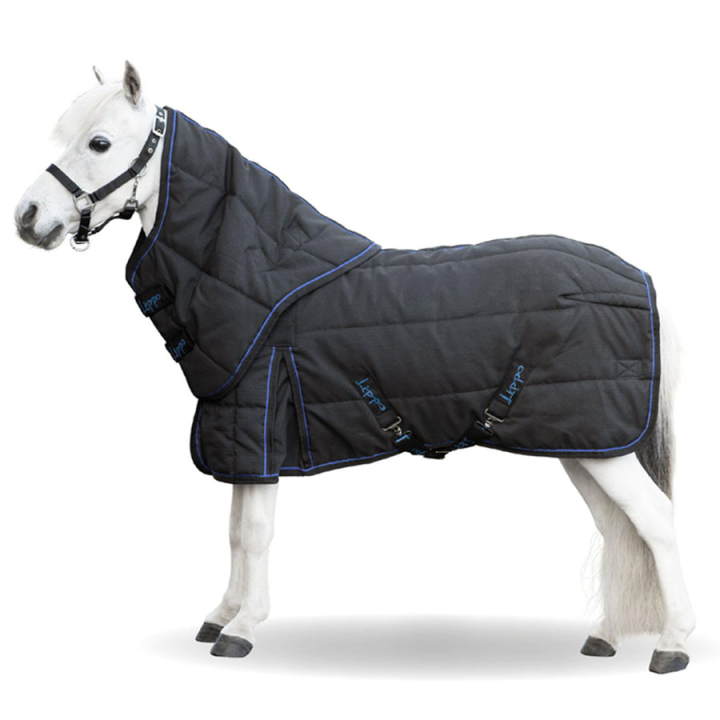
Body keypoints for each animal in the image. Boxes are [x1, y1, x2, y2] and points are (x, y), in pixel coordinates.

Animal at [14, 62, 695, 673]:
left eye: (100, 143)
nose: (27, 218)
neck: (258, 277)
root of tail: (637, 277)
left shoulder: (260, 430)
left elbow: (254, 533)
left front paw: (242, 628)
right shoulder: (239, 439)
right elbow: (233, 532)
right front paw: (220, 616)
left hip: (600, 443)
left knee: (657, 522)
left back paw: (673, 646)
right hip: (584, 443)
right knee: (620, 530)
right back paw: (606, 636)